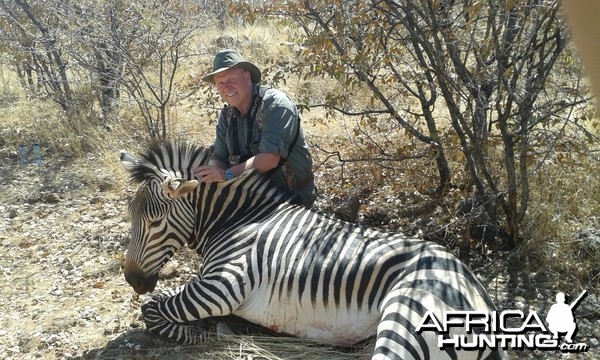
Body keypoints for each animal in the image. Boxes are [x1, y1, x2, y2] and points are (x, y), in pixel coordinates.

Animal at [119, 142, 504, 360]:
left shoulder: (224, 284)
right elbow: (156, 303)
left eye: (154, 222)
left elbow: (152, 308)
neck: (238, 219)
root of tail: (479, 292)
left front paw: (199, 335)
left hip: (406, 318)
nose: (132, 280)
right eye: (131, 217)